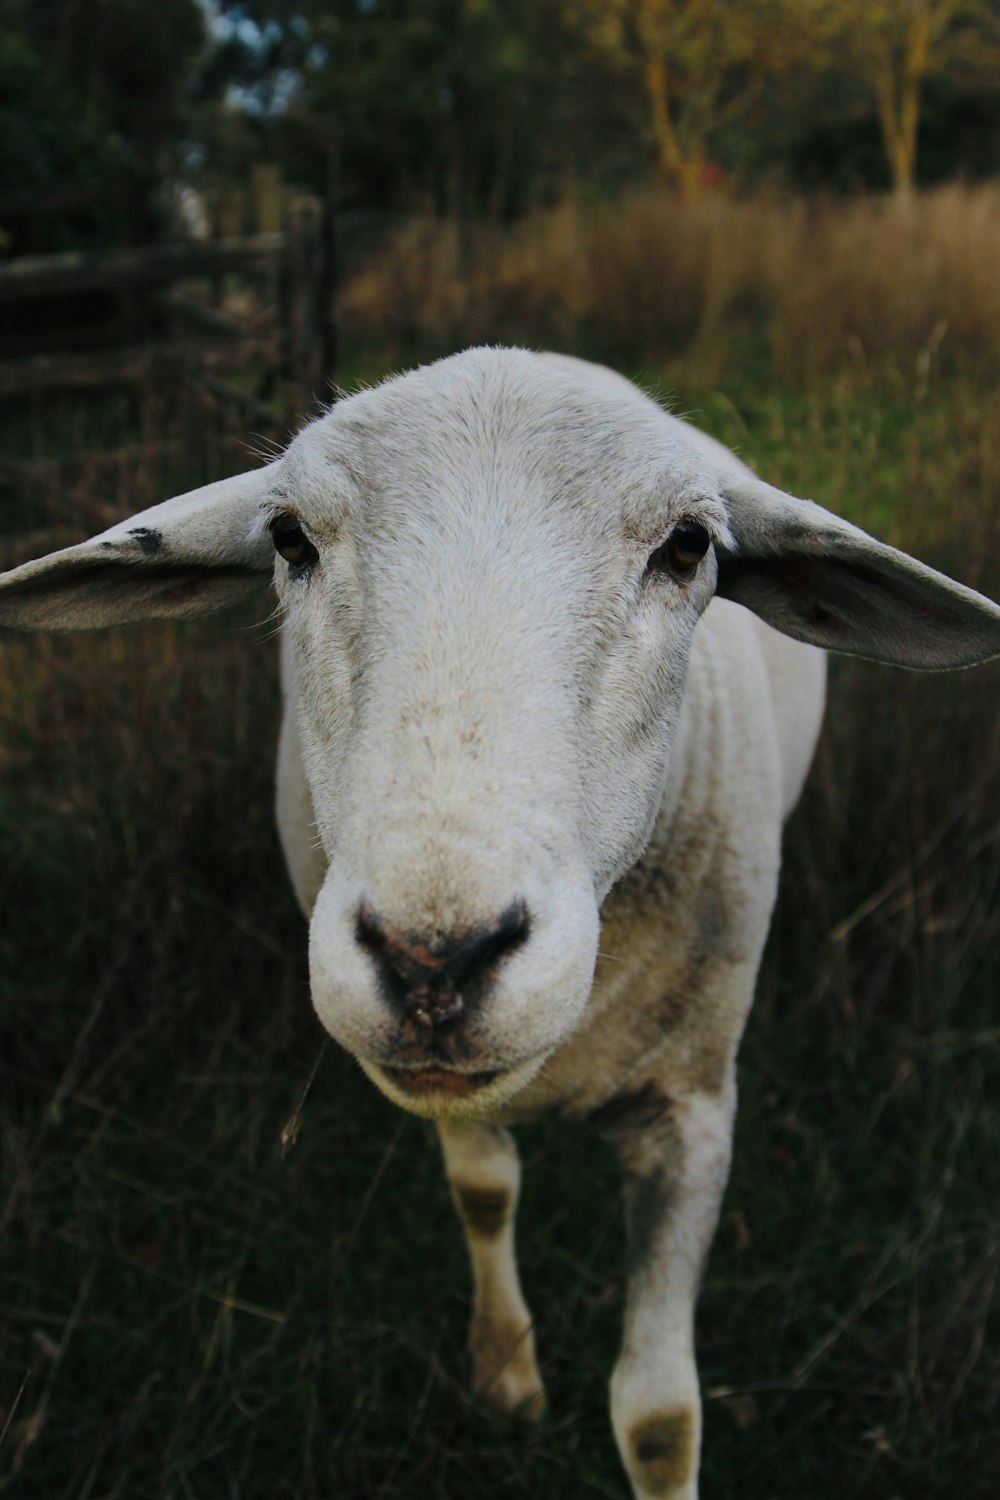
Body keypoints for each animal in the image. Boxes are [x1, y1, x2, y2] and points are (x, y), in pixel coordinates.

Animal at [1, 351, 1000, 1500]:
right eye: (289, 540)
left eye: (688, 546)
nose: (433, 961)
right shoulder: (444, 1088)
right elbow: (485, 1196)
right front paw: (508, 1376)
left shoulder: (694, 1106)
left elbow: (659, 1418)